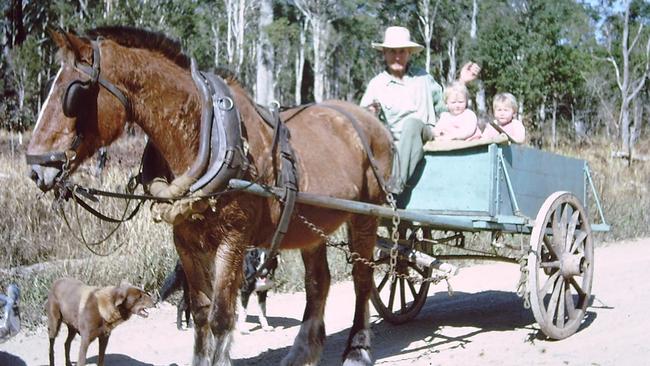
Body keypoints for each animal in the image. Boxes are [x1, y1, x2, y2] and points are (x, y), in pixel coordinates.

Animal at [26, 26, 390, 366]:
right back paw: (302, 351)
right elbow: (200, 312)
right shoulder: (186, 241)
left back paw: (357, 348)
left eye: (73, 94)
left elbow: (221, 318)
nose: (35, 167)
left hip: (367, 214)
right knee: (318, 283)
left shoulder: (233, 240)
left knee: (362, 280)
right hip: (312, 226)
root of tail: (371, 120)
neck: (210, 134)